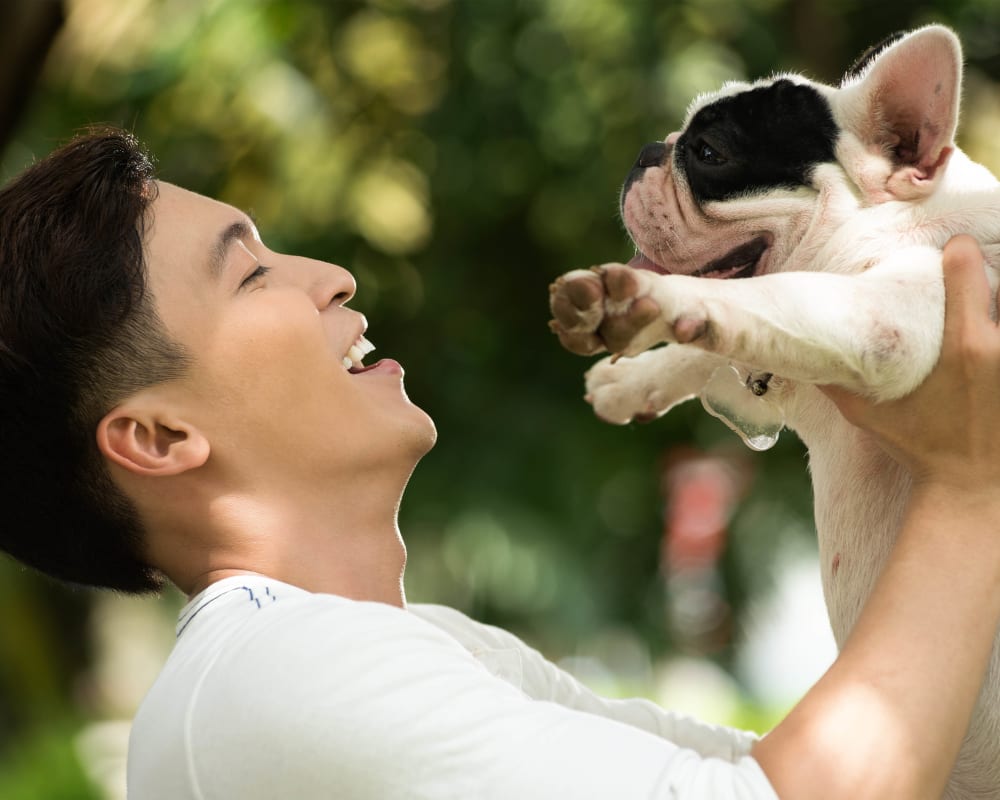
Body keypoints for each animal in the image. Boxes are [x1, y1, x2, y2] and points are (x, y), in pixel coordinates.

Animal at [552, 26, 1000, 800]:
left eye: (709, 152)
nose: (649, 150)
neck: (897, 226)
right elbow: (722, 343)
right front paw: (631, 380)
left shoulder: (887, 322)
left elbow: (754, 300)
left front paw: (642, 305)